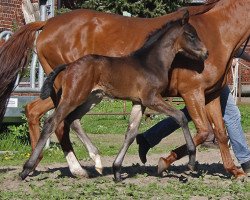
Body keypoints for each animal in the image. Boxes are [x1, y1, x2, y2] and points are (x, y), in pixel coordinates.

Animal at [0, 0, 249, 180]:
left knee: (43, 113)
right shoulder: (188, 93)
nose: (205, 53)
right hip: (71, 94)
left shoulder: (211, 94)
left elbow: (220, 132)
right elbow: (198, 127)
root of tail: (46, 25)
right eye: (190, 34)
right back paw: (58, 167)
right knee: (56, 121)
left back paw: (59, 164)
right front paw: (175, 162)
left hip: (79, 95)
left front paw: (234, 170)